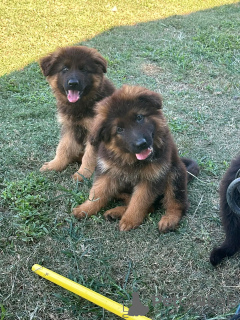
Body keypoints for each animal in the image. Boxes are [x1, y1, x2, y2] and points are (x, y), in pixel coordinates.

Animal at [38, 45, 115, 180]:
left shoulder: (95, 134)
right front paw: (55, 165)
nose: (73, 83)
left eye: (84, 70)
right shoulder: (69, 127)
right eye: (65, 69)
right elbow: (63, 148)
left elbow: (89, 156)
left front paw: (83, 174)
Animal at [72, 85, 200, 230]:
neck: (131, 160)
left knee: (176, 203)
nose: (141, 144)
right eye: (119, 129)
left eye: (139, 117)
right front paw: (85, 209)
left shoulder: (151, 178)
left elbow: (139, 201)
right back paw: (115, 212)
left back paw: (169, 219)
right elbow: (98, 193)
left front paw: (130, 219)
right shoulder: (107, 172)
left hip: (175, 174)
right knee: (141, 203)